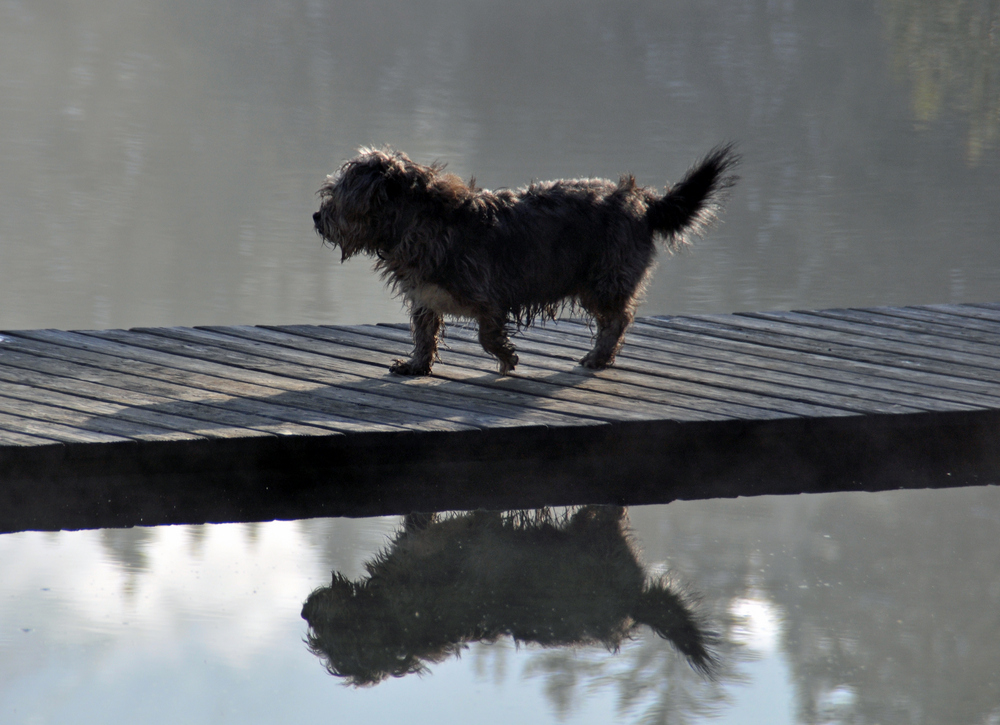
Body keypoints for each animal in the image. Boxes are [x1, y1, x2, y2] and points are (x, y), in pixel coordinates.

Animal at [316, 145, 740, 376]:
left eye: (337, 197)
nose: (317, 218)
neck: (417, 221)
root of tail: (642, 201)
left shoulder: (489, 296)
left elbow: (488, 335)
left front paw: (507, 358)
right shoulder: (425, 298)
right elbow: (424, 335)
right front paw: (416, 367)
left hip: (603, 281)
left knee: (618, 319)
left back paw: (598, 356)